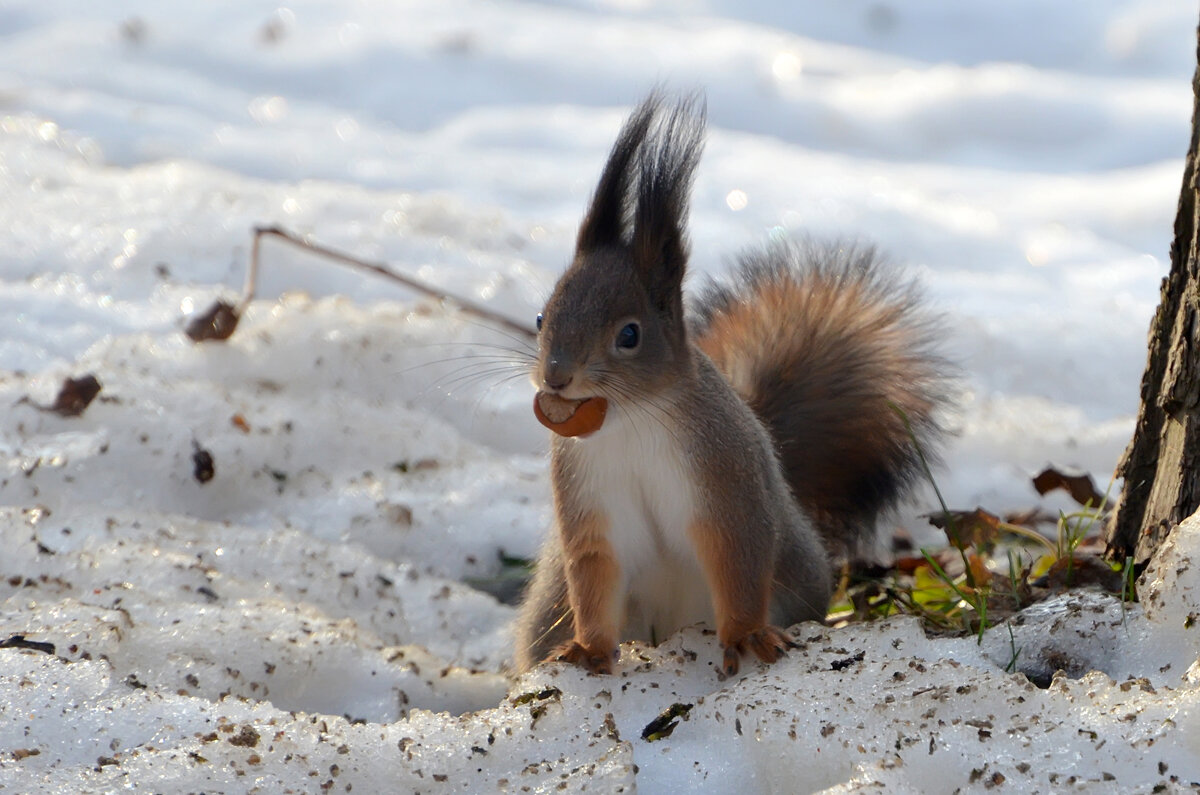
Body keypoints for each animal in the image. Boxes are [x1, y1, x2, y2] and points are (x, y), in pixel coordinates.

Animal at [511, 93, 950, 677]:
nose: (556, 376)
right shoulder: (589, 503)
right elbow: (596, 578)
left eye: (630, 335)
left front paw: (746, 636)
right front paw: (589, 649)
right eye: (541, 318)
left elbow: (738, 562)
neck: (630, 420)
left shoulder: (726, 483)